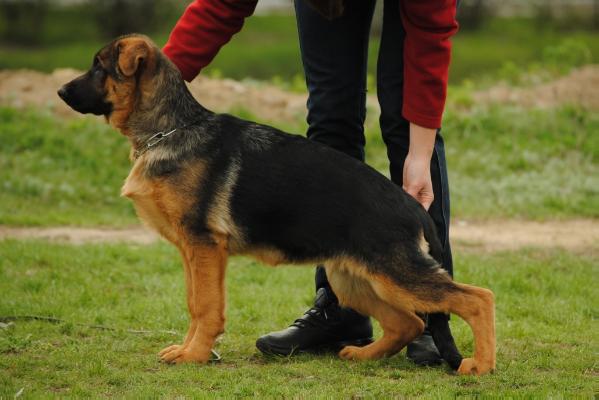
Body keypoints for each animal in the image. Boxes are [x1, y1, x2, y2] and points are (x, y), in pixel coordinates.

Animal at [57, 34, 496, 376]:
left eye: (99, 67)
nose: (60, 92)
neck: (171, 127)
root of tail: (412, 205)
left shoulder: (204, 248)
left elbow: (206, 307)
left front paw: (195, 355)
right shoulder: (192, 253)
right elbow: (194, 302)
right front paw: (190, 349)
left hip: (396, 274)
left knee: (476, 298)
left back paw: (481, 365)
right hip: (354, 279)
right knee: (407, 322)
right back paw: (364, 354)